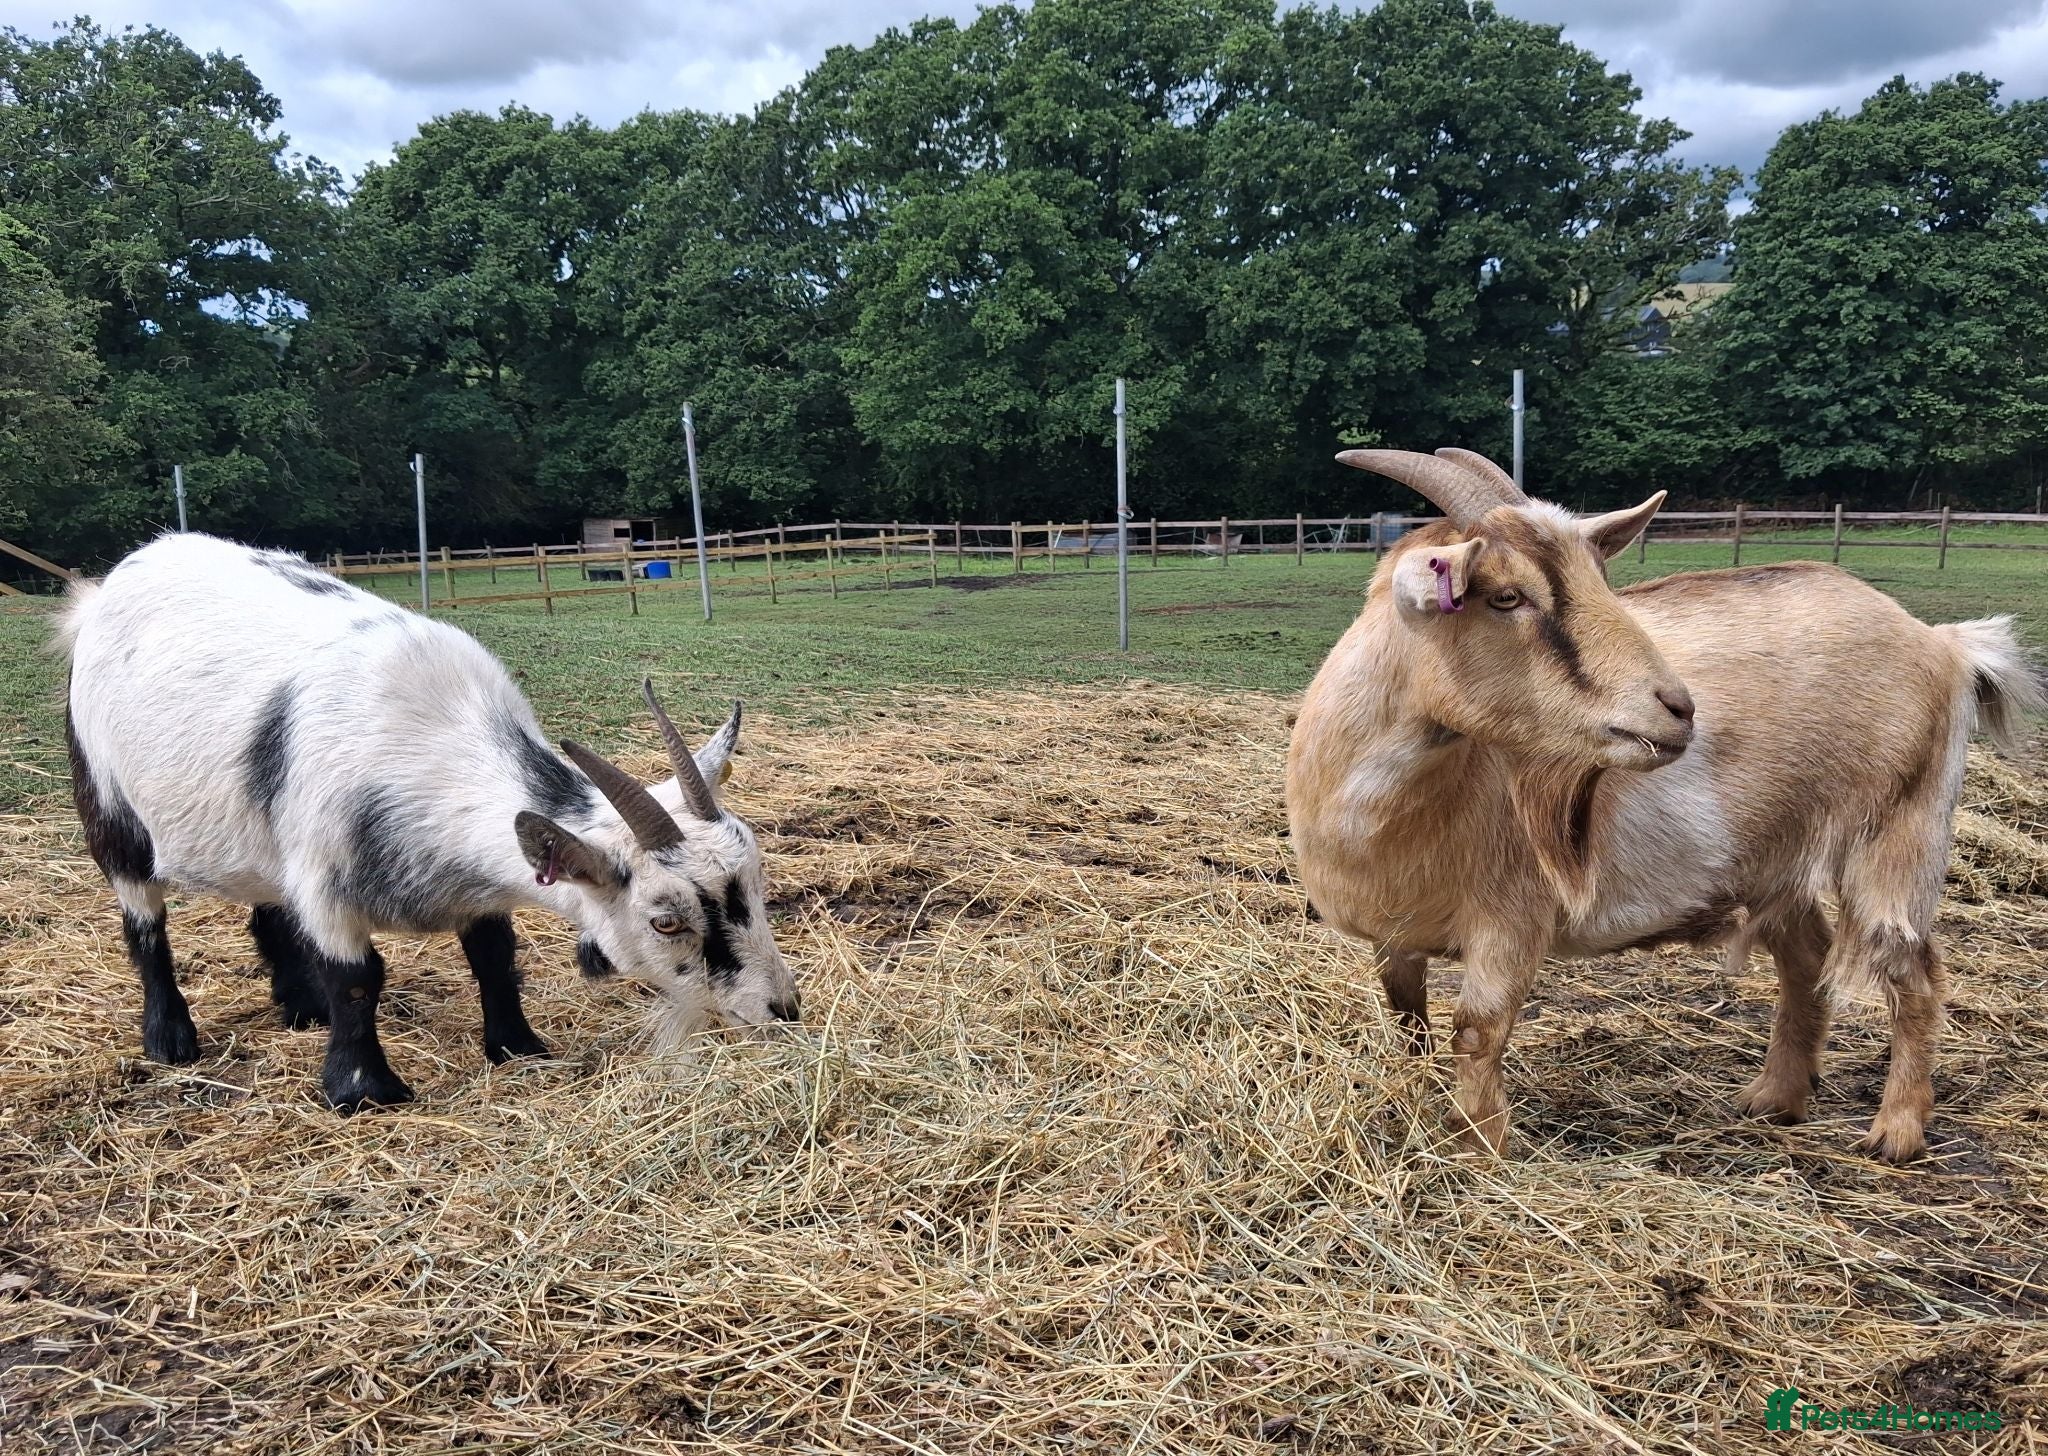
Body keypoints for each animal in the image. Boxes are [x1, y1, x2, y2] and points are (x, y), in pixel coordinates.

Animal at [59, 533, 801, 1110]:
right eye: (665, 920)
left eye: (758, 885)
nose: (782, 1009)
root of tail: (106, 588)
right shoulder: (326, 878)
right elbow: (356, 977)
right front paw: (362, 1089)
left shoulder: (472, 882)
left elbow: (494, 956)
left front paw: (517, 1046)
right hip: (108, 801)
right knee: (143, 919)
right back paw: (170, 1038)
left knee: (266, 902)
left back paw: (299, 1008)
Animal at [1285, 449, 2041, 1161]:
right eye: (1505, 596)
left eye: (1600, 581)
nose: (1678, 708)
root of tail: (1942, 641)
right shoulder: (1394, 936)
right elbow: (1407, 1021)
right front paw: (1415, 1105)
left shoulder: (1512, 917)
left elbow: (1477, 1031)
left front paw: (1479, 1151)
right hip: (1776, 857)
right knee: (1808, 957)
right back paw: (1776, 1097)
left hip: (1901, 831)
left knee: (1914, 969)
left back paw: (1898, 1131)